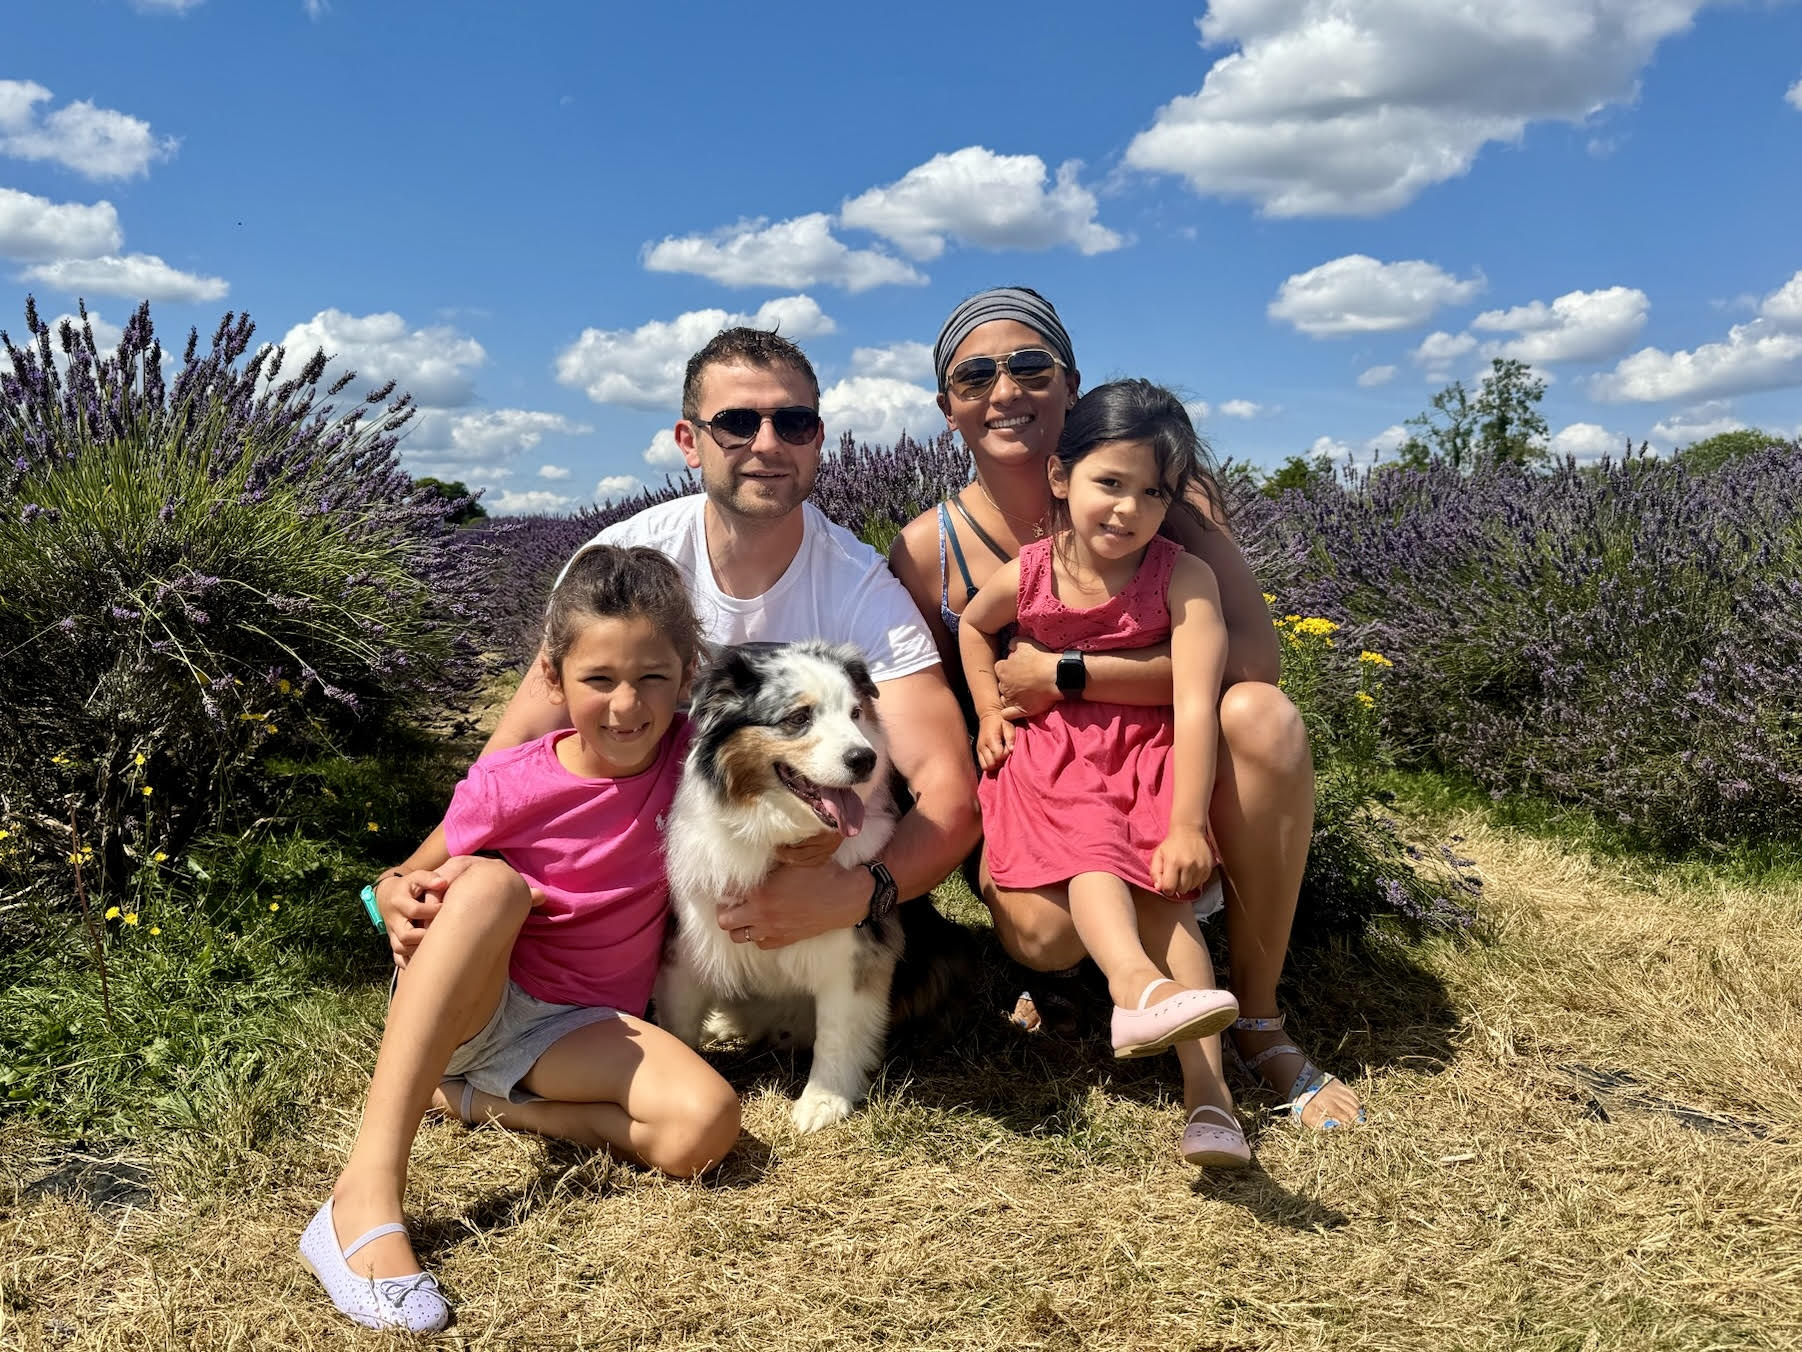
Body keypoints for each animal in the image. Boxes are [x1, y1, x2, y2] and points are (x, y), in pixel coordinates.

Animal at [659, 641, 908, 1132]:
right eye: (798, 718)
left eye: (855, 713)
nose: (865, 759)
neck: (776, 835)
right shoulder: (693, 938)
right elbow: (678, 1021)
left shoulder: (852, 949)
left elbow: (836, 1030)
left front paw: (823, 1101)